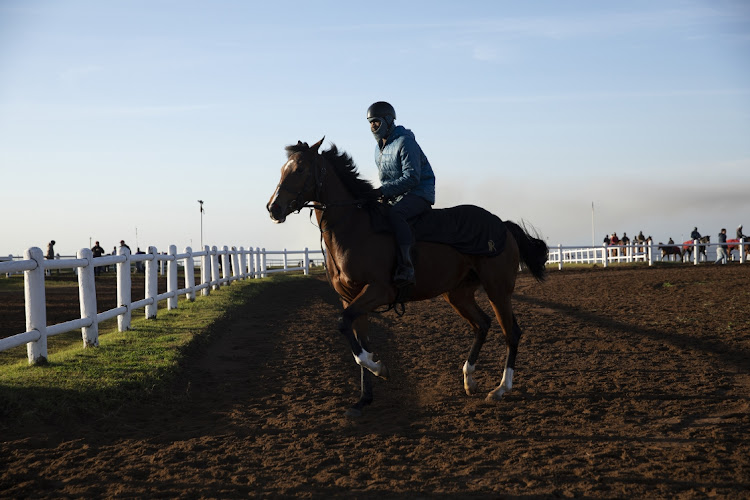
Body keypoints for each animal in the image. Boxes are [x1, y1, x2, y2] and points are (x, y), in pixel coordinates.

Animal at [268, 139, 548, 416]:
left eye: (300, 169)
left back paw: (501, 389)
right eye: (282, 169)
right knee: (482, 324)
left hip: (497, 290)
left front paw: (380, 368)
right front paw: (364, 398)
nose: (273, 207)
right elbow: (358, 339)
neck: (355, 228)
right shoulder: (350, 298)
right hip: (458, 294)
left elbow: (346, 328)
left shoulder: (378, 291)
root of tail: (503, 225)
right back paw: (469, 379)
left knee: (511, 333)